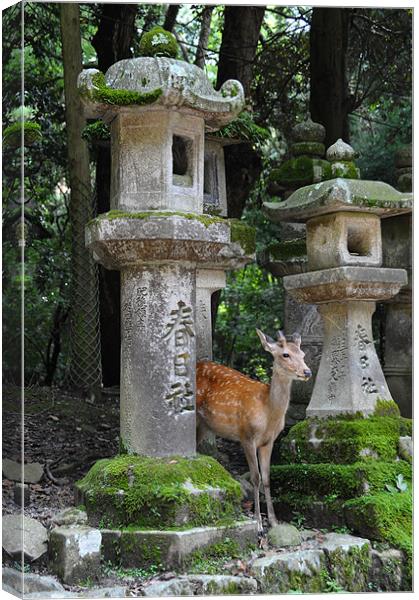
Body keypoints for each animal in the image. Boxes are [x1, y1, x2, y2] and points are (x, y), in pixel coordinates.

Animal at [197, 330, 312, 532]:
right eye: (285, 354)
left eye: (303, 354)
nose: (307, 372)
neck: (268, 414)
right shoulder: (247, 436)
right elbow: (255, 478)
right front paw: (258, 523)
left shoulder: (269, 441)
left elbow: (266, 478)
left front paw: (274, 521)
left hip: (204, 425)